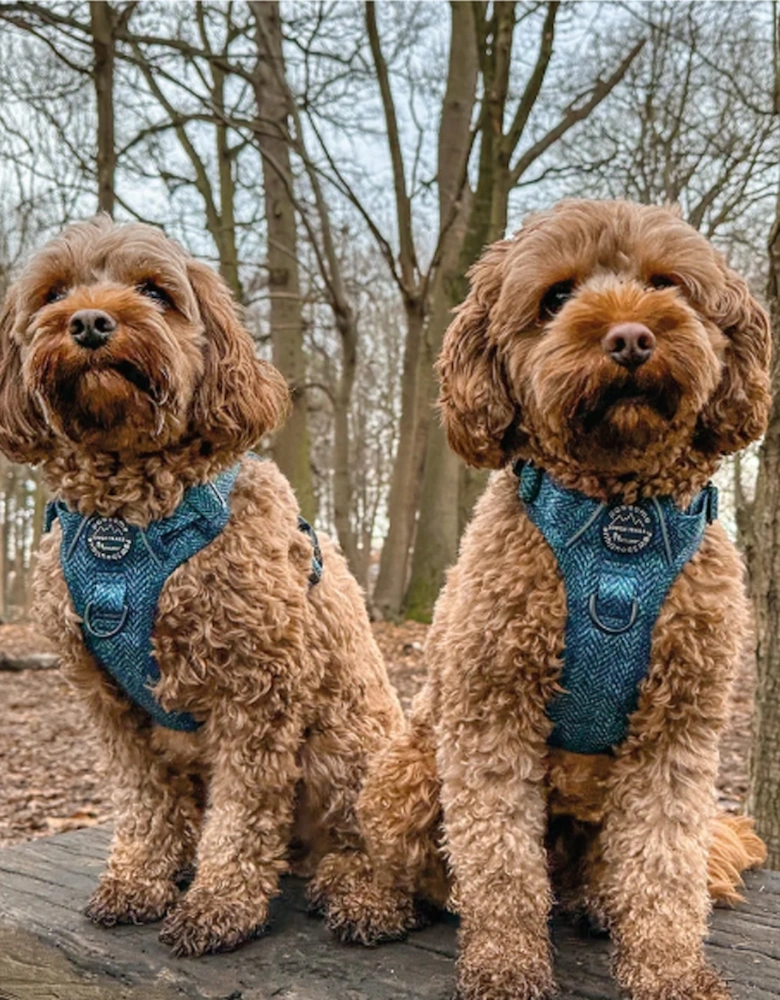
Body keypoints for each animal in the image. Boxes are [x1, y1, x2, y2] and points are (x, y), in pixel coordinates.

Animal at [0, 221, 406, 960]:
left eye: (156, 292)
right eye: (54, 293)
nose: (91, 322)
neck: (126, 524)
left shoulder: (258, 688)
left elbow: (242, 816)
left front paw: (220, 904)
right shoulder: (109, 704)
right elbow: (143, 803)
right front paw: (139, 880)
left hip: (345, 746)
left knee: (373, 846)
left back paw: (362, 893)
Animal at [346, 201, 768, 1000]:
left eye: (666, 284)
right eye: (556, 298)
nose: (631, 336)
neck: (617, 525)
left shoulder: (677, 731)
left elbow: (665, 866)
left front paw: (669, 971)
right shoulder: (492, 712)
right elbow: (500, 864)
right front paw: (507, 966)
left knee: (597, 876)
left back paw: (600, 905)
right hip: (404, 772)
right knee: (396, 860)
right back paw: (369, 901)